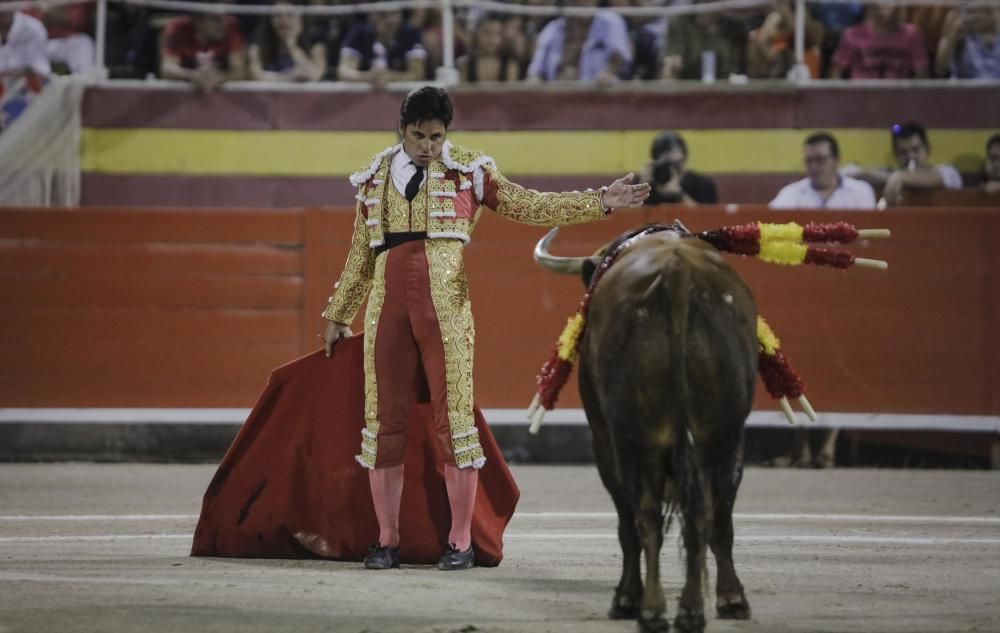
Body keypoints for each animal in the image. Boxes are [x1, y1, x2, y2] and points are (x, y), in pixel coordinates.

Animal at [536, 223, 752, 633]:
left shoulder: (604, 441)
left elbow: (628, 523)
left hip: (635, 439)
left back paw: (647, 608)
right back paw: (711, 605)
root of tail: (678, 274)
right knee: (712, 515)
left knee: (645, 518)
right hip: (725, 436)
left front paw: (627, 598)